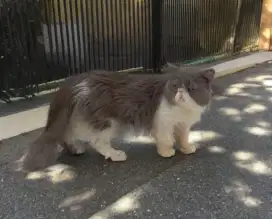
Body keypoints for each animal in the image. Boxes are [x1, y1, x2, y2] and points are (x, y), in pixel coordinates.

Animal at [18, 63, 220, 173]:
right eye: (175, 86)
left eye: (190, 88)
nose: (180, 92)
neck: (182, 110)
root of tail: (76, 80)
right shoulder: (163, 122)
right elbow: (166, 139)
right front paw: (166, 152)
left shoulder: (183, 125)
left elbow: (183, 137)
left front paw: (186, 148)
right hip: (106, 123)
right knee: (97, 142)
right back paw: (116, 155)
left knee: (69, 134)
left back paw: (76, 149)